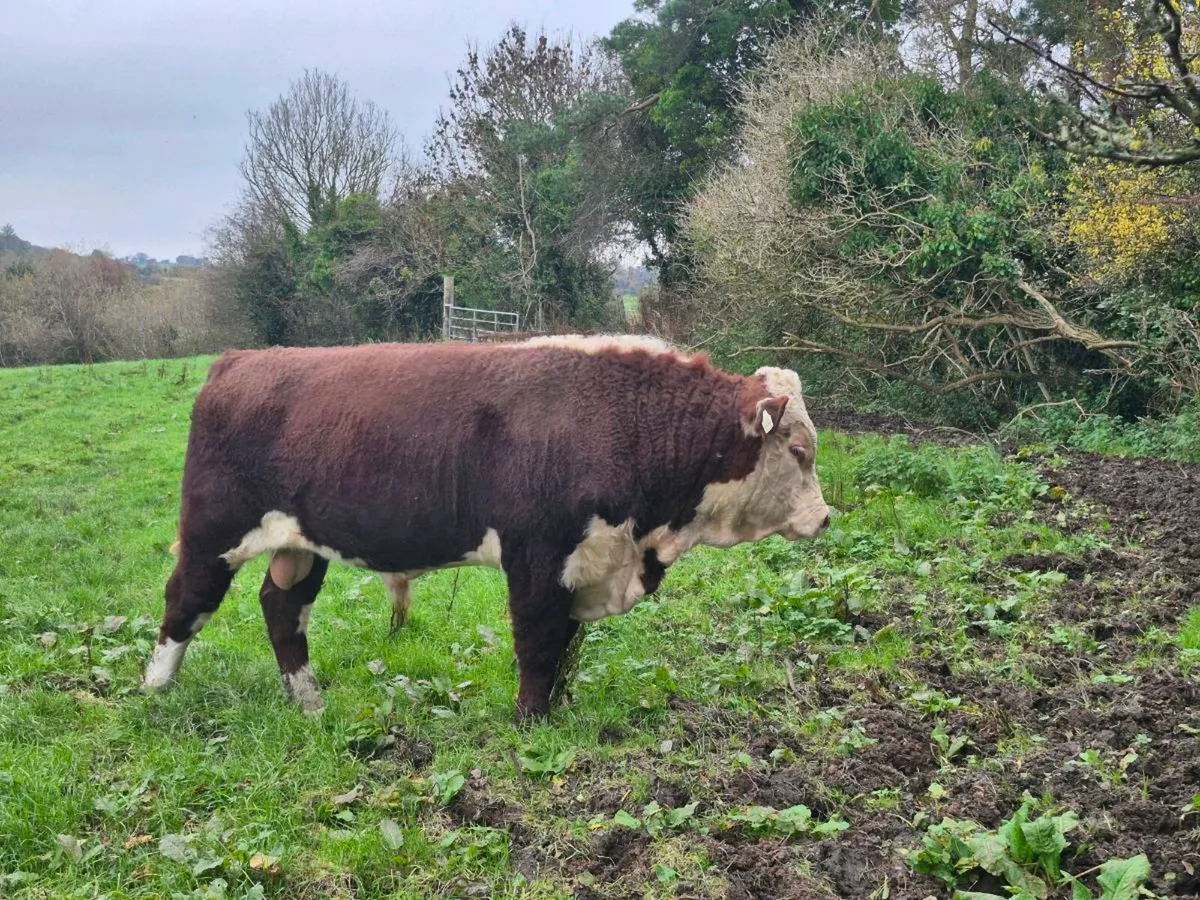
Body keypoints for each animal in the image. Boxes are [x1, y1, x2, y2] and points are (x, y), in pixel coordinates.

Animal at [143, 335, 831, 722]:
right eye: (798, 449)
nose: (824, 518)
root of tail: (239, 361)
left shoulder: (586, 564)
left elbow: (565, 649)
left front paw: (558, 710)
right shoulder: (537, 557)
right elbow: (538, 644)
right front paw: (530, 722)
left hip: (300, 544)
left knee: (282, 608)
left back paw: (310, 705)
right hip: (212, 533)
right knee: (185, 602)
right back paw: (155, 692)